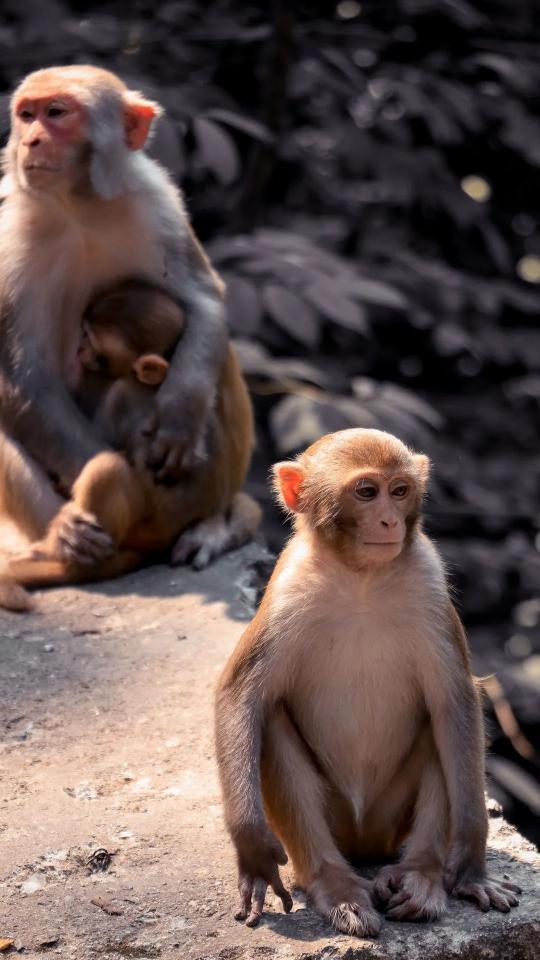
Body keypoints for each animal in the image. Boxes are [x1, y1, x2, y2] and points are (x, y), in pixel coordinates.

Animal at [0, 65, 232, 570]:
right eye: (26, 115)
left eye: (56, 113)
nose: (31, 141)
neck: (79, 206)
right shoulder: (9, 238)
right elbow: (20, 377)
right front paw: (110, 485)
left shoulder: (158, 203)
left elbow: (204, 299)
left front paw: (180, 417)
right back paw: (60, 538)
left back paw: (208, 524)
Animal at [0, 280, 260, 610]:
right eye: (84, 334)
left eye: (95, 346)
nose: (79, 350)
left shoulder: (119, 393)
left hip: (145, 524)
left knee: (107, 469)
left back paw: (62, 555)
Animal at [215, 429, 521, 937]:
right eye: (365, 491)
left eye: (399, 491)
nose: (388, 520)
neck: (361, 579)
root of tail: (363, 844)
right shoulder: (287, 590)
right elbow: (241, 697)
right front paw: (253, 847)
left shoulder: (429, 582)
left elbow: (454, 703)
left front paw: (471, 866)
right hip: (339, 822)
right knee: (272, 720)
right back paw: (335, 885)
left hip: (388, 822)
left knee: (439, 727)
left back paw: (420, 877)